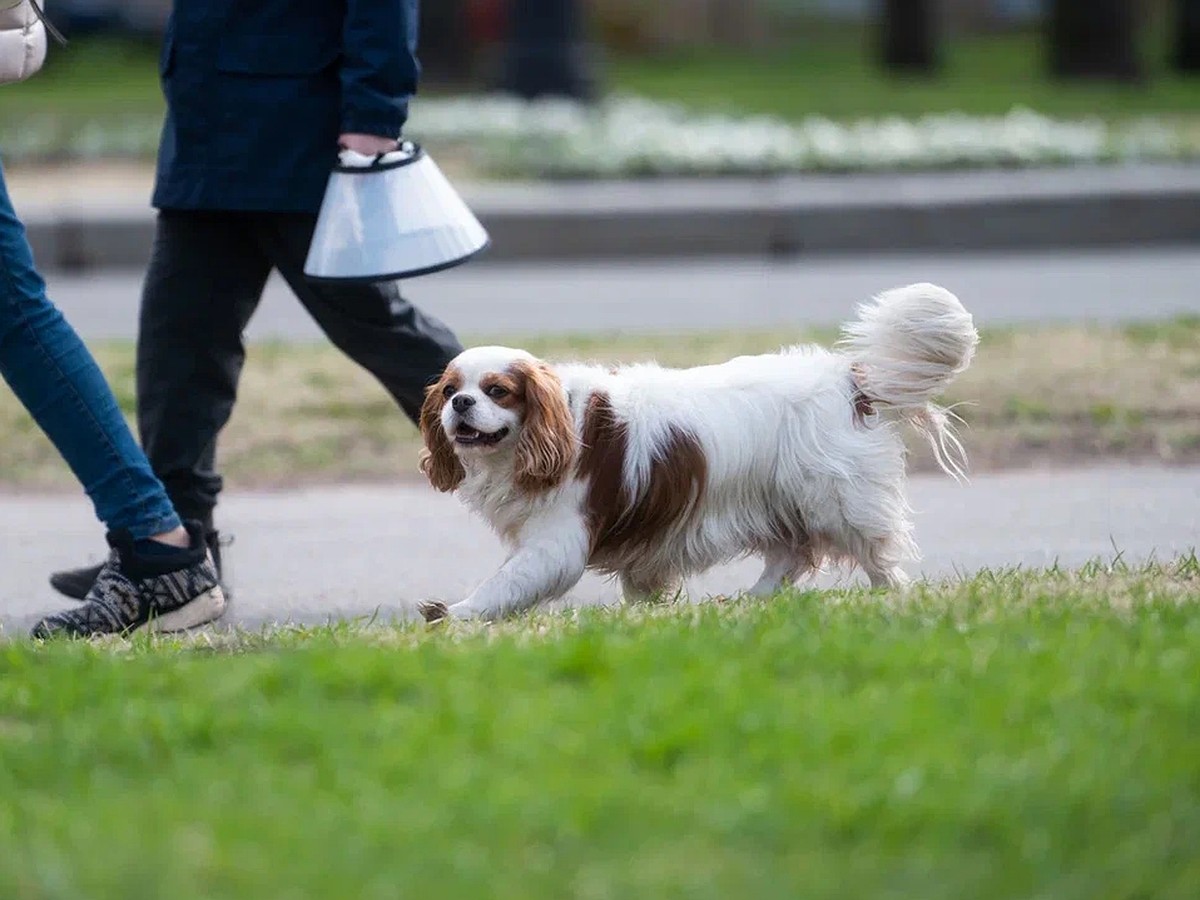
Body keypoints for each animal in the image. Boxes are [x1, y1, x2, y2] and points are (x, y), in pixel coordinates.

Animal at [417, 285, 979, 624]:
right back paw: (751, 603)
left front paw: (455, 614)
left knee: (877, 556)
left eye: (497, 391)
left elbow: (506, 583)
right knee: (790, 556)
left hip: (835, 500)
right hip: (781, 499)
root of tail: (848, 378)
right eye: (449, 391)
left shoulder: (555, 541)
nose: (461, 404)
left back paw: (892, 596)